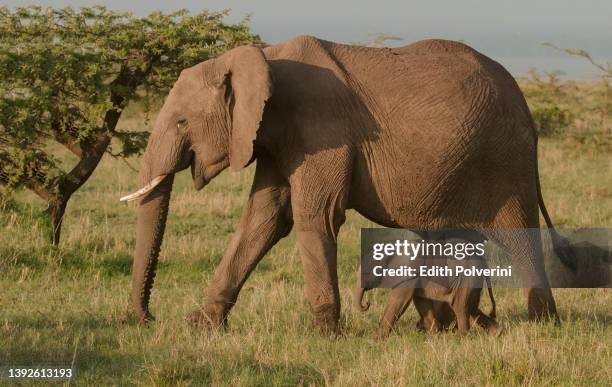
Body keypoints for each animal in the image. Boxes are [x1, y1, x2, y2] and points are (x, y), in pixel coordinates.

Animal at [120, 35, 572, 334]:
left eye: (182, 123)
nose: (148, 319)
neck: (262, 58)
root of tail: (526, 107)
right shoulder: (274, 138)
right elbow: (263, 219)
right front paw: (200, 325)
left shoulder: (322, 129)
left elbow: (314, 216)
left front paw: (324, 334)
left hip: (504, 158)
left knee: (519, 236)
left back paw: (543, 326)